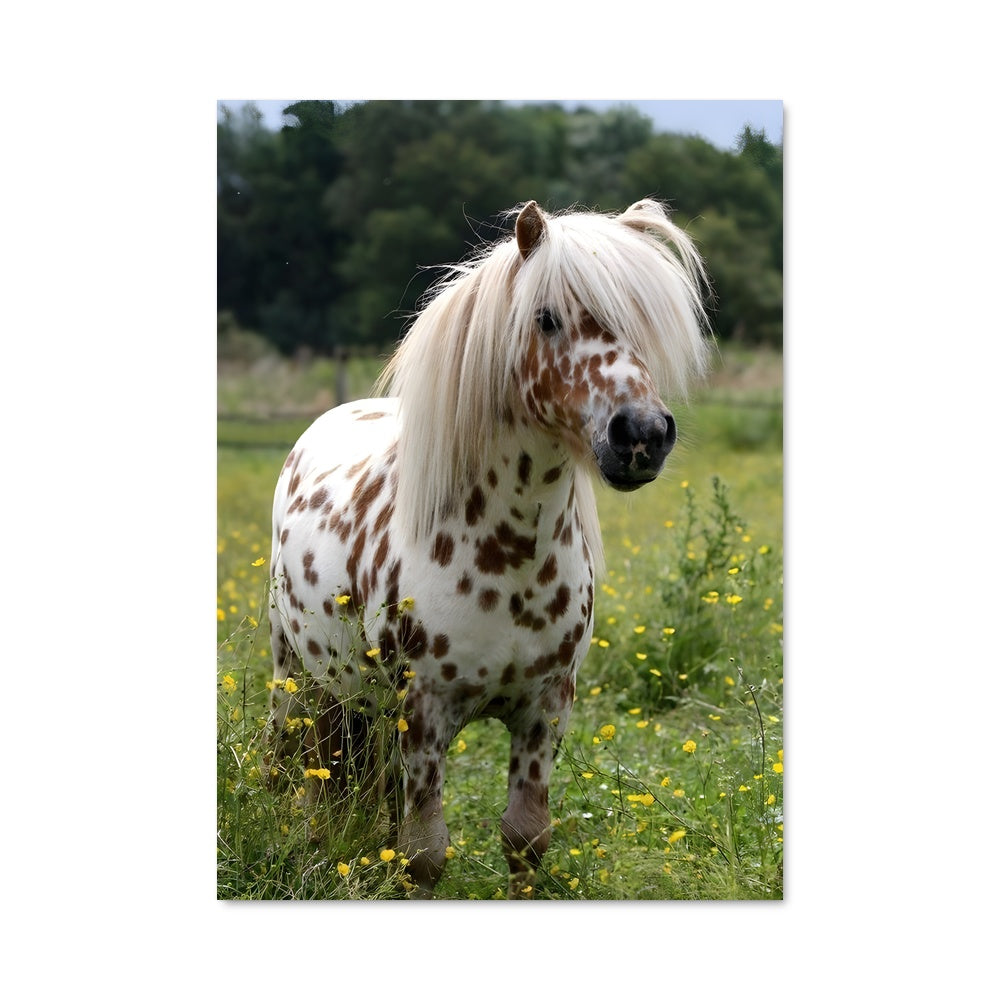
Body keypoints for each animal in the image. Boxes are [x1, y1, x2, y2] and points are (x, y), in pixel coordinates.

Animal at [266, 198, 711, 897]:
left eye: (643, 320)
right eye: (546, 318)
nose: (641, 435)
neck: (508, 556)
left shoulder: (544, 711)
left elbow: (525, 839)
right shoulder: (423, 713)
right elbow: (422, 855)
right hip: (300, 680)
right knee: (308, 770)